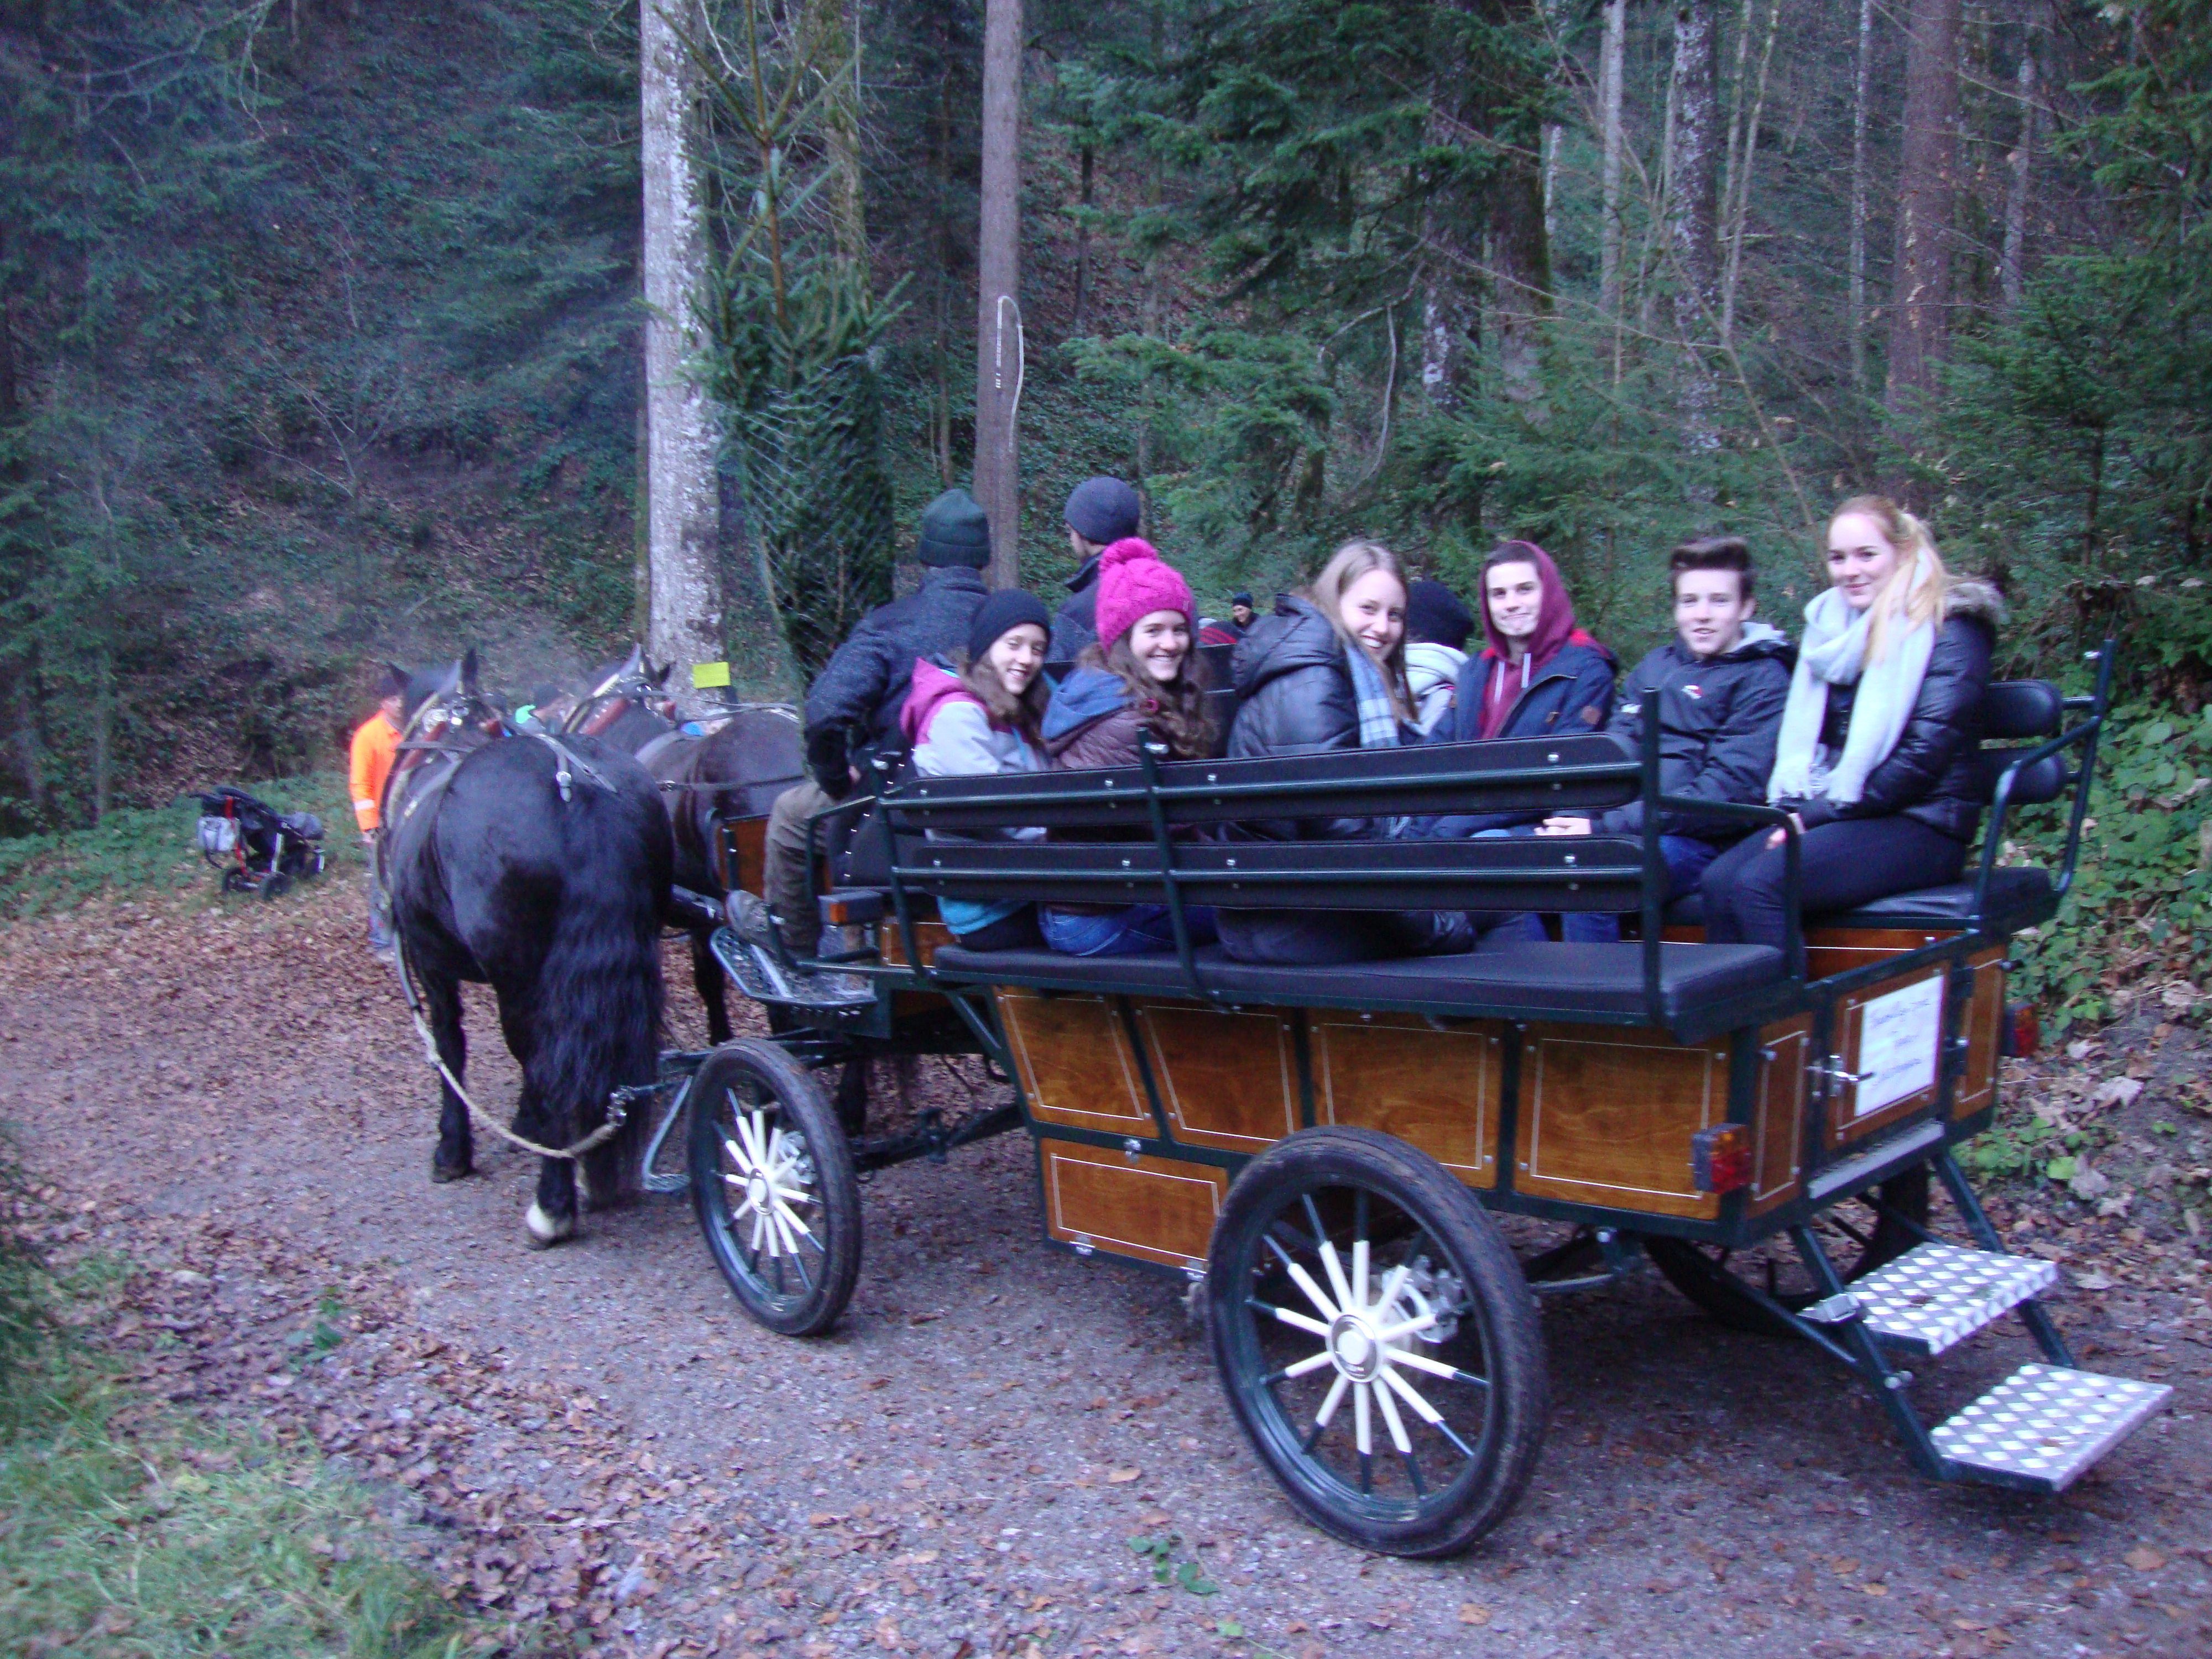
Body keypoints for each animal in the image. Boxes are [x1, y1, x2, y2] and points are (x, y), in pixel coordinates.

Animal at [385, 655, 672, 1239]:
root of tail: (572, 784)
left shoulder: (431, 967)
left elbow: (449, 1049)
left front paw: (452, 1149)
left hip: (518, 975)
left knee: (545, 1063)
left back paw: (553, 1200)